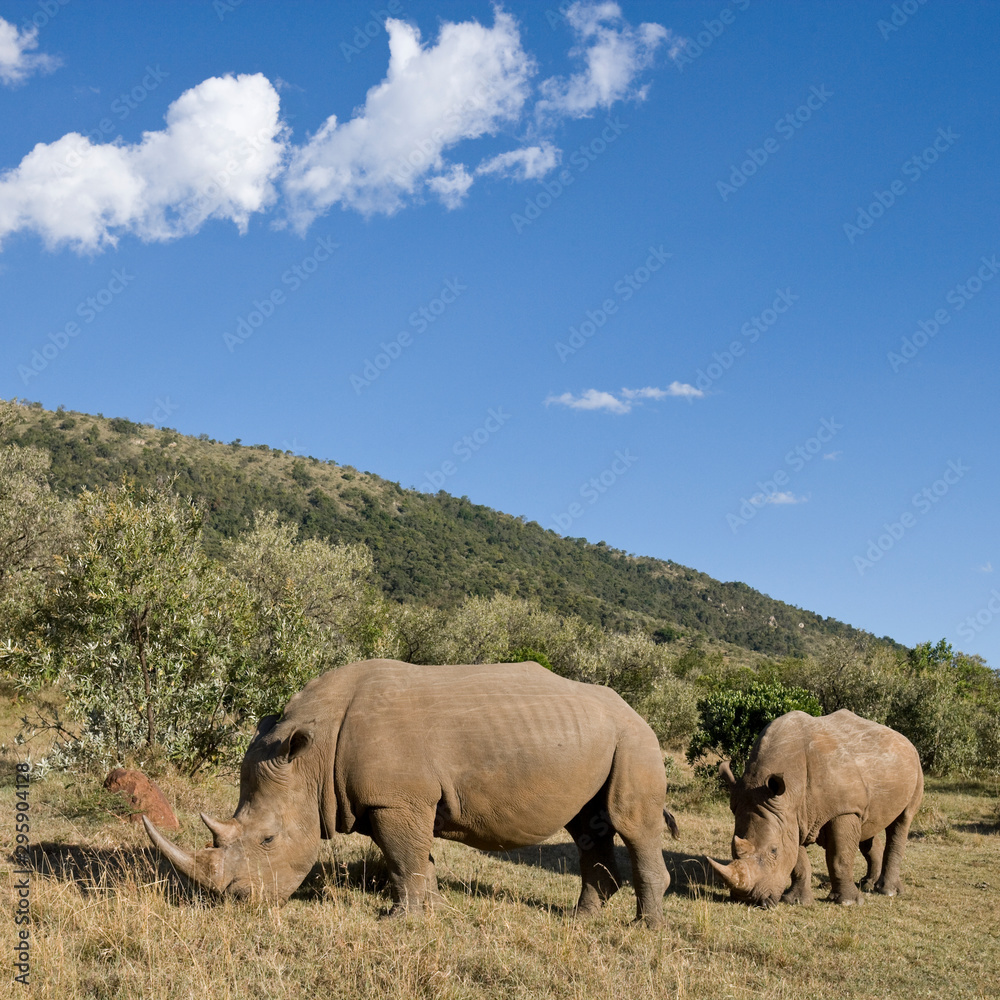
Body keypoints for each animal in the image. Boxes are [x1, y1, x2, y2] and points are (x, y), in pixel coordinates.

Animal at [145, 658, 677, 926]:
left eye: (269, 841)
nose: (234, 901)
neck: (310, 756)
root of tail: (635, 710)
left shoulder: (394, 799)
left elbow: (402, 857)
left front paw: (397, 921)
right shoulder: (402, 800)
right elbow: (418, 858)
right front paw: (432, 912)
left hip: (636, 740)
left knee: (630, 823)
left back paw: (643, 929)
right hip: (602, 737)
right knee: (588, 824)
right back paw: (581, 921)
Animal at [707, 709, 923, 907]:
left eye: (774, 851)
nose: (748, 900)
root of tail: (904, 739)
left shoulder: (842, 810)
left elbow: (839, 857)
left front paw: (848, 903)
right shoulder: (789, 815)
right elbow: (798, 860)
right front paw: (796, 901)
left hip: (915, 765)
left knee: (902, 821)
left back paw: (888, 891)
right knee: (868, 827)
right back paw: (867, 884)